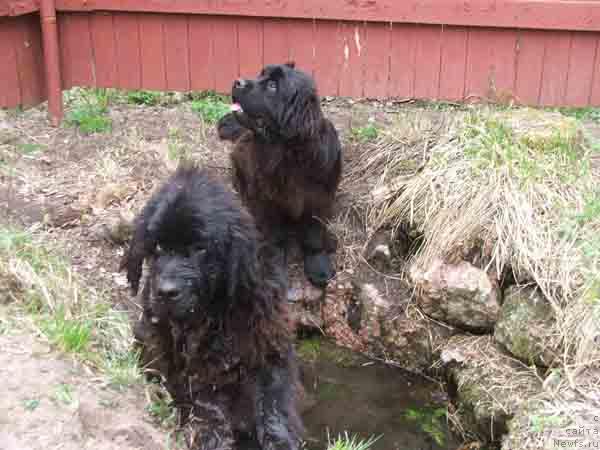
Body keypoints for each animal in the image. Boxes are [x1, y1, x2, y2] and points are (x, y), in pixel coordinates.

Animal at [122, 164, 302, 450]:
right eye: (158, 246)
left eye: (199, 248)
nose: (165, 292)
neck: (216, 316)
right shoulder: (183, 368)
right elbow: (204, 406)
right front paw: (212, 437)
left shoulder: (269, 346)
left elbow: (274, 399)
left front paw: (280, 439)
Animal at [217, 61, 342, 288]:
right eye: (260, 74)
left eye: (273, 86)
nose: (236, 81)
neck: (286, 153)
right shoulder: (268, 202)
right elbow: (275, 238)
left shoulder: (318, 199)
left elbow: (313, 235)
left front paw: (318, 266)